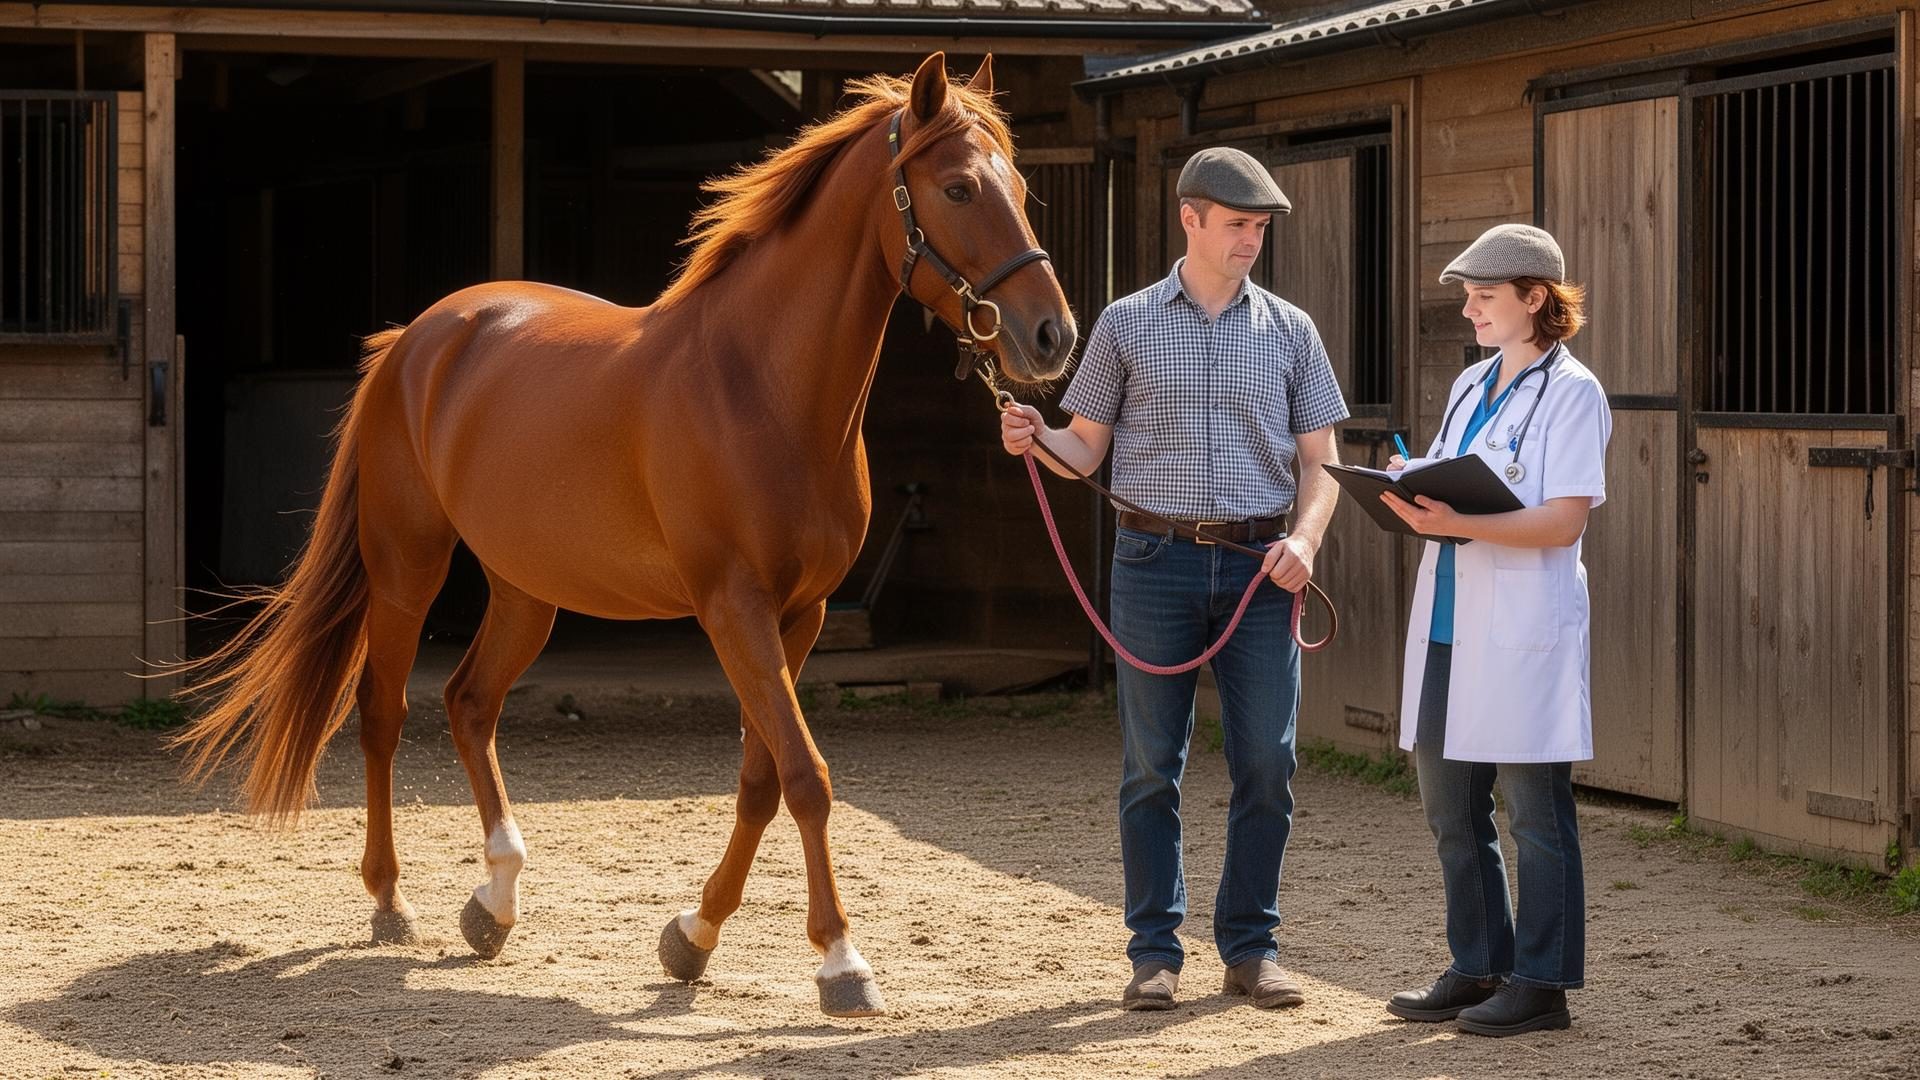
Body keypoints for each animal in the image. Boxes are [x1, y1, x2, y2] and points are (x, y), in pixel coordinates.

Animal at [168, 51, 1075, 1017]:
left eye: (1021, 187)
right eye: (957, 187)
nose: (1052, 336)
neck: (761, 386)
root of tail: (417, 337)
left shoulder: (802, 615)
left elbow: (761, 779)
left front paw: (693, 938)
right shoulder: (734, 610)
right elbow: (806, 776)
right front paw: (841, 963)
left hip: (526, 591)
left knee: (469, 703)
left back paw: (494, 902)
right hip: (406, 567)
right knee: (383, 712)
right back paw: (391, 902)